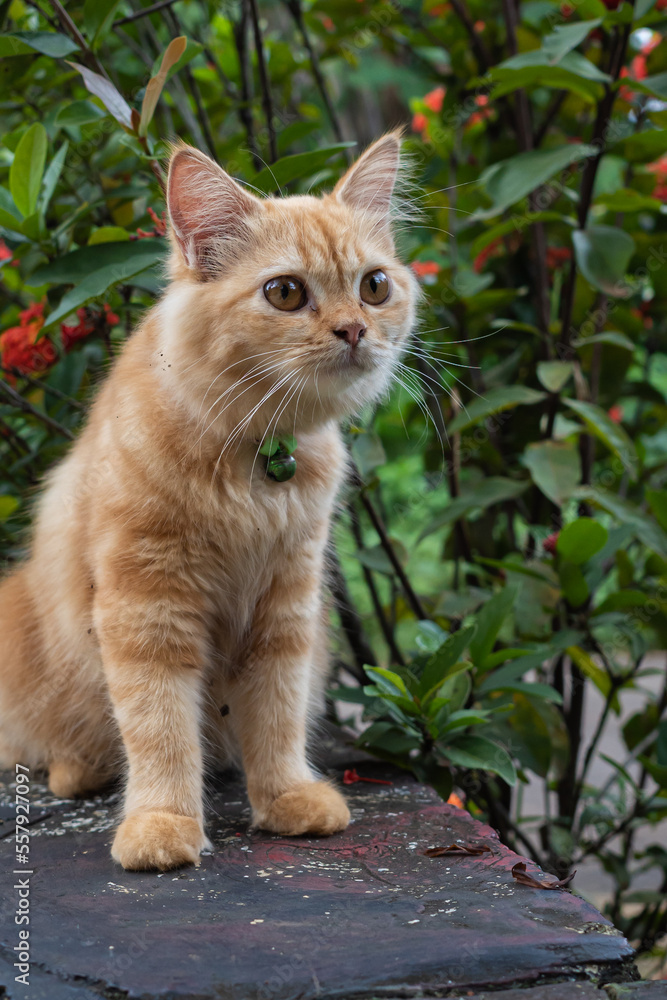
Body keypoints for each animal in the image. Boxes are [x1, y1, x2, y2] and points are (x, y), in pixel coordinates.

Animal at [0, 133, 418, 868]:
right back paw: (80, 770)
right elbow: (160, 727)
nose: (352, 331)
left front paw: (285, 800)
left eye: (374, 287)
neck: (255, 461)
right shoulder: (147, 605)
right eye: (286, 293)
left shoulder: (287, 603)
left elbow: (277, 718)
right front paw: (162, 824)